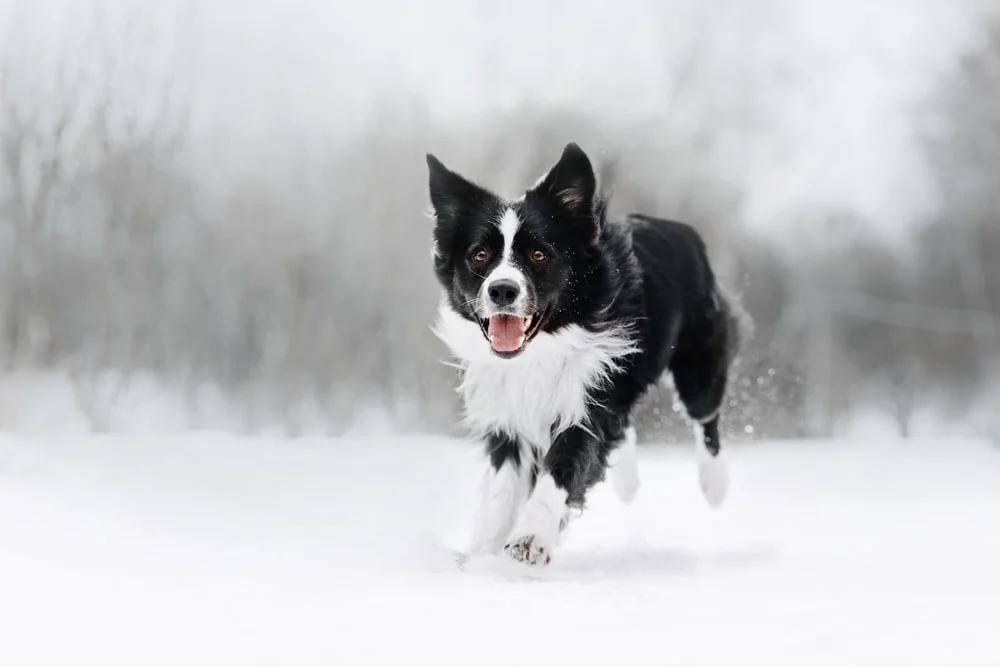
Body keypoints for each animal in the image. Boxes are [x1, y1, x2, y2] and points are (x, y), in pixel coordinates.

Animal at [424, 142, 744, 568]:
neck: (540, 350)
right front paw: (481, 553)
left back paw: (715, 484)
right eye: (479, 256)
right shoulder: (509, 413)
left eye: (539, 255)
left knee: (705, 416)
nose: (502, 290)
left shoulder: (587, 399)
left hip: (698, 360)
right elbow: (502, 491)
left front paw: (530, 538)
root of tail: (683, 229)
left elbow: (564, 464)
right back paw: (628, 479)